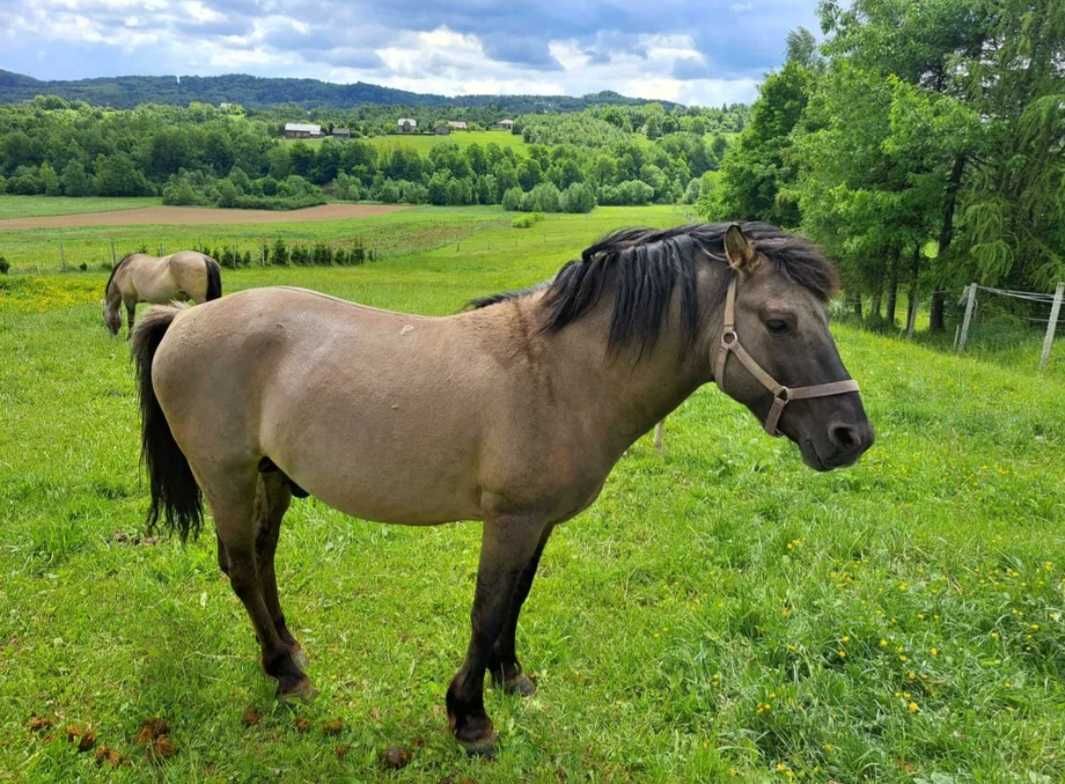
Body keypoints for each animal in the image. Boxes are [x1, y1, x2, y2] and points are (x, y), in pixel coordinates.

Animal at [128, 220, 873, 754]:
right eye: (778, 321)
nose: (851, 436)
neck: (560, 371)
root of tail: (182, 318)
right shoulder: (509, 520)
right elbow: (486, 611)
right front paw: (469, 717)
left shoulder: (538, 522)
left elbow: (515, 600)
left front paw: (511, 679)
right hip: (226, 476)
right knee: (241, 567)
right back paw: (285, 671)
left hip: (271, 480)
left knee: (261, 561)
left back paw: (287, 653)